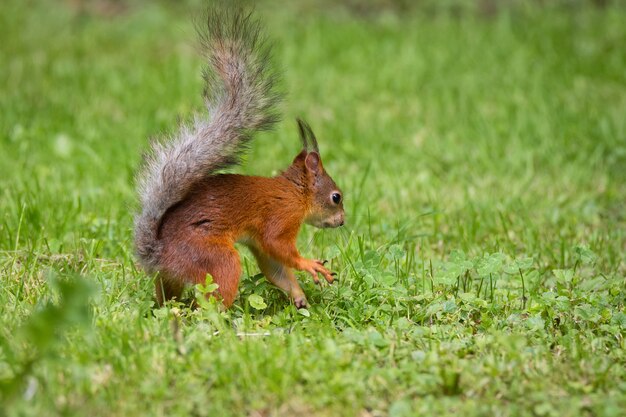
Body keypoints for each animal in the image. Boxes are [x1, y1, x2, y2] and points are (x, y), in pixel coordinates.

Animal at [133, 5, 344, 306]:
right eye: (336, 197)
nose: (343, 221)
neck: (296, 192)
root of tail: (158, 254)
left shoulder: (259, 242)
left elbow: (276, 268)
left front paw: (300, 298)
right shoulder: (282, 217)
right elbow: (278, 246)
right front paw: (308, 265)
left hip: (171, 279)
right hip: (217, 259)